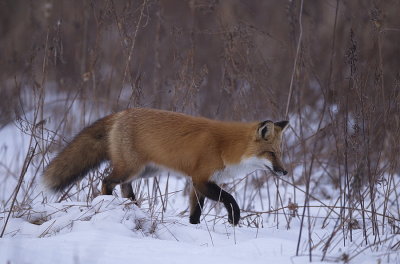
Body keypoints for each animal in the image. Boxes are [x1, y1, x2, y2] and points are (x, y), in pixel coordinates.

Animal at [43, 107, 288, 225]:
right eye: (271, 154)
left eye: (280, 154)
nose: (284, 171)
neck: (225, 147)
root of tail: (121, 113)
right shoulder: (200, 178)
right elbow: (229, 198)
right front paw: (234, 218)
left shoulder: (200, 182)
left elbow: (196, 211)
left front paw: (194, 227)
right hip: (131, 168)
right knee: (106, 181)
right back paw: (106, 203)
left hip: (145, 171)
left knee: (125, 187)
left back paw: (132, 207)